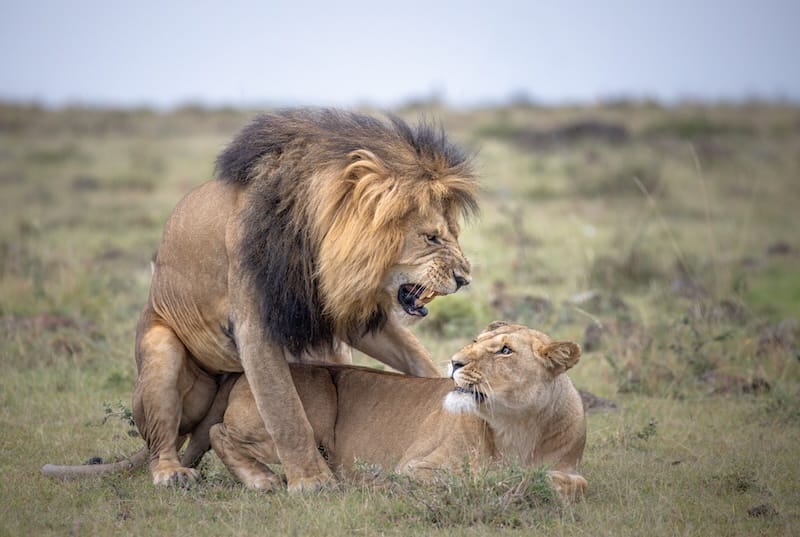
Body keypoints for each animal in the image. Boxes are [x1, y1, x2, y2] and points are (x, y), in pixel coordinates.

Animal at [126, 109, 478, 491]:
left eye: (453, 235)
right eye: (431, 237)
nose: (465, 279)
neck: (310, 243)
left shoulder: (338, 312)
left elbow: (415, 356)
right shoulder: (254, 327)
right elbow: (287, 414)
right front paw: (312, 481)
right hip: (162, 354)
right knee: (164, 440)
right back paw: (175, 473)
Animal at [209, 322, 588, 501]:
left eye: (505, 351)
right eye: (475, 342)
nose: (455, 362)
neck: (517, 424)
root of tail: (241, 375)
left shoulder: (570, 465)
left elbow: (575, 482)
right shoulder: (415, 467)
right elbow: (476, 478)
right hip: (311, 402)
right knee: (218, 432)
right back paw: (262, 480)